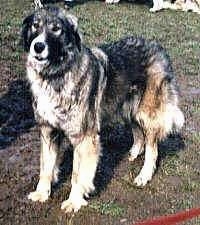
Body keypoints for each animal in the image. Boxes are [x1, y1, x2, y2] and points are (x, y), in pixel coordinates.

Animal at [21, 5, 184, 213]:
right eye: (35, 26)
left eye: (56, 29)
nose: (38, 46)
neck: (56, 74)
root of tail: (159, 48)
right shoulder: (48, 131)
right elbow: (46, 167)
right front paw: (42, 193)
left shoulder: (84, 138)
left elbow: (77, 175)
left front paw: (74, 201)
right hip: (128, 108)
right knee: (138, 131)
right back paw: (133, 152)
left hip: (146, 113)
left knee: (152, 148)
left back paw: (143, 175)